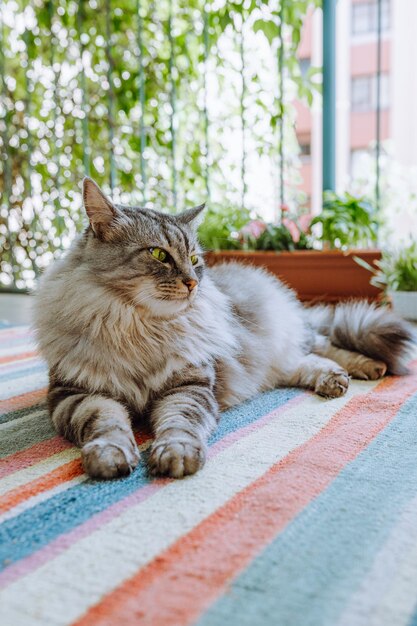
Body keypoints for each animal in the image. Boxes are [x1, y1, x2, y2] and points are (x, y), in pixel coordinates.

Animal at [34, 178, 414, 480]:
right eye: (159, 255)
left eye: (194, 259)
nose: (192, 283)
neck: (139, 328)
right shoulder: (78, 393)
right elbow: (106, 423)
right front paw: (109, 456)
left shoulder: (190, 384)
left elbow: (179, 423)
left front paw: (176, 455)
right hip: (271, 361)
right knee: (303, 364)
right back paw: (332, 380)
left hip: (287, 337)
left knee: (324, 346)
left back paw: (363, 369)